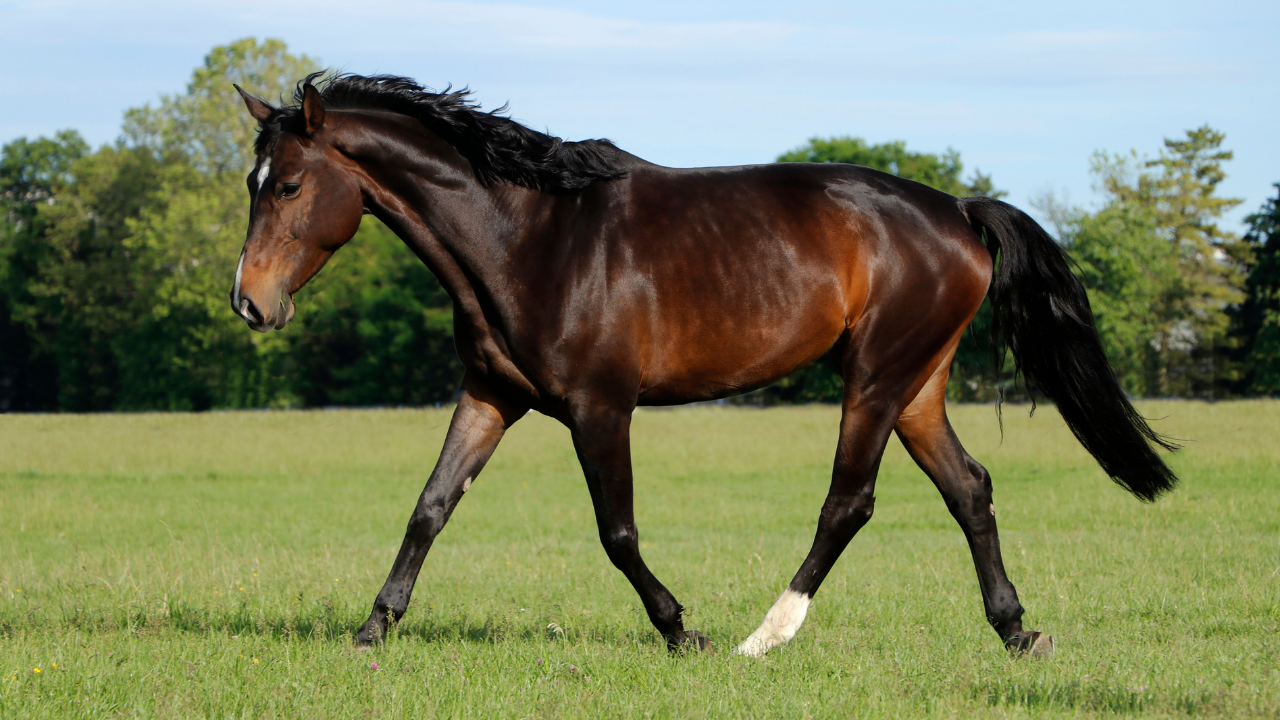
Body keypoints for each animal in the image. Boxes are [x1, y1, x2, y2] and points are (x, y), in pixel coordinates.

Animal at [229, 73, 1177, 657]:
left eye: (288, 186)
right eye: (251, 182)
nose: (249, 303)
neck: (530, 239)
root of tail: (957, 209)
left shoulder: (600, 408)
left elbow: (616, 533)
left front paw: (681, 630)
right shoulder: (491, 395)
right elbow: (429, 508)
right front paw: (371, 632)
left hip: (874, 380)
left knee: (849, 504)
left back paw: (763, 637)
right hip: (917, 387)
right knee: (969, 489)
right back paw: (1017, 632)